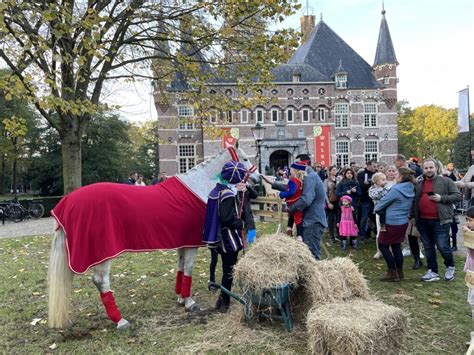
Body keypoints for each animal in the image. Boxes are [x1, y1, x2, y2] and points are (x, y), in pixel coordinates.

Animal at [47, 147, 260, 330]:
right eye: (245, 159)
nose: (258, 179)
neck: (195, 186)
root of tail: (68, 201)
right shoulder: (191, 244)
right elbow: (188, 269)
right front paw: (189, 302)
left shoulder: (182, 242)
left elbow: (180, 269)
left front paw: (180, 298)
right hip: (103, 254)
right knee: (101, 281)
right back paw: (120, 321)